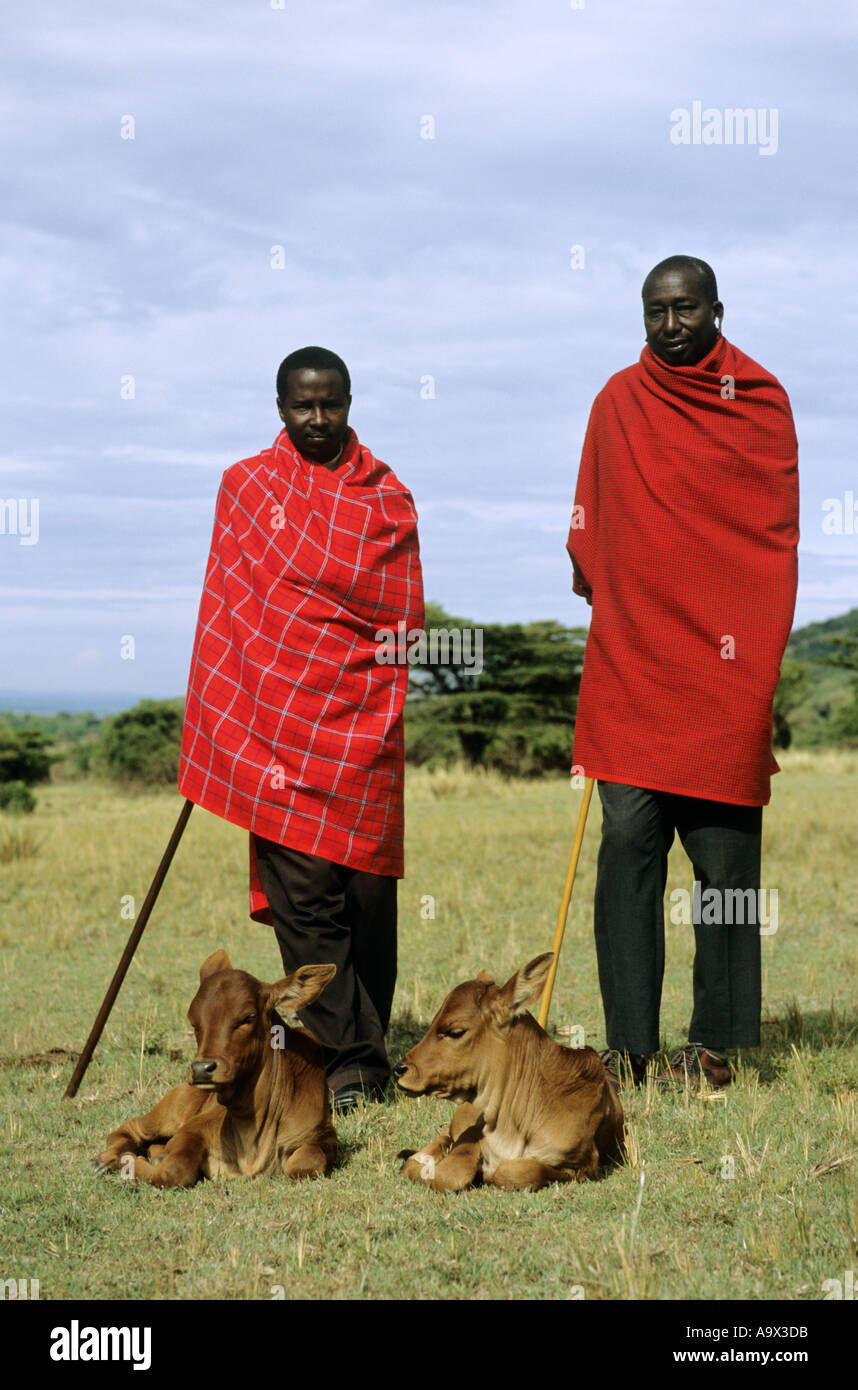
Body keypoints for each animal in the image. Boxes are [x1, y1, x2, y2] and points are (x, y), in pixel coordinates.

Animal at [91, 950, 337, 1189]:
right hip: (171, 1109)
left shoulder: (324, 1136)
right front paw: (130, 1162)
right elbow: (173, 1170)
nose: (201, 1068)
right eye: (194, 1022)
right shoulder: (192, 1129)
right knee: (130, 1127)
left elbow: (305, 1163)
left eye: (248, 1017)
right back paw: (105, 1159)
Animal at [392, 956, 622, 1195]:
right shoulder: (472, 1133)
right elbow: (451, 1172)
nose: (399, 1068)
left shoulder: (584, 1165)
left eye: (456, 1032)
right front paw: (413, 1165)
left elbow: (516, 1171)